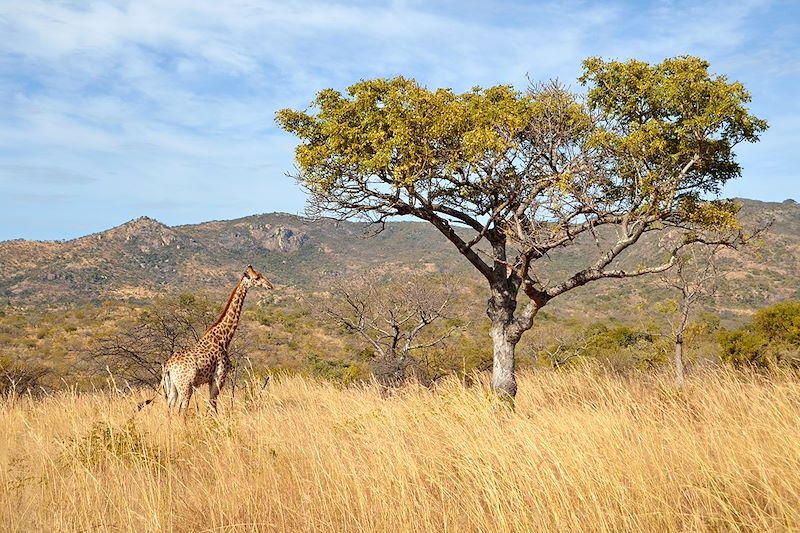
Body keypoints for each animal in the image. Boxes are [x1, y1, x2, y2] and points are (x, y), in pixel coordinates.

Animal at [162, 266, 276, 416]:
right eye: (257, 278)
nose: (270, 286)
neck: (224, 338)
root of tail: (169, 367)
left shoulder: (211, 380)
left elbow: (211, 406)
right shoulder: (219, 377)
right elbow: (212, 406)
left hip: (172, 388)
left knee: (169, 410)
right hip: (185, 386)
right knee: (182, 410)